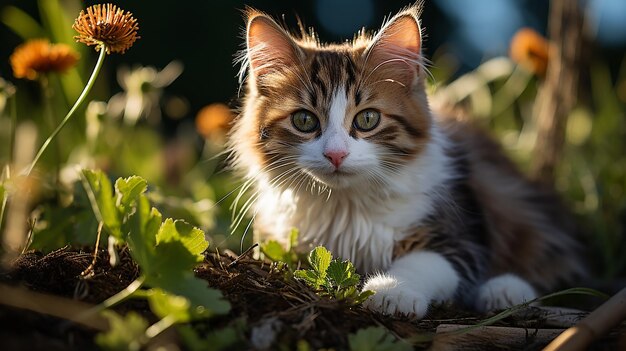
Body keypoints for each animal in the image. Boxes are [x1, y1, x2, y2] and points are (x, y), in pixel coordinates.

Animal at [229, 4, 584, 318]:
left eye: (367, 119)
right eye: (304, 121)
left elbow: (421, 264)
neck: (346, 206)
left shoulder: (458, 237)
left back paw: (506, 291)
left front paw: (391, 292)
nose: (336, 154)